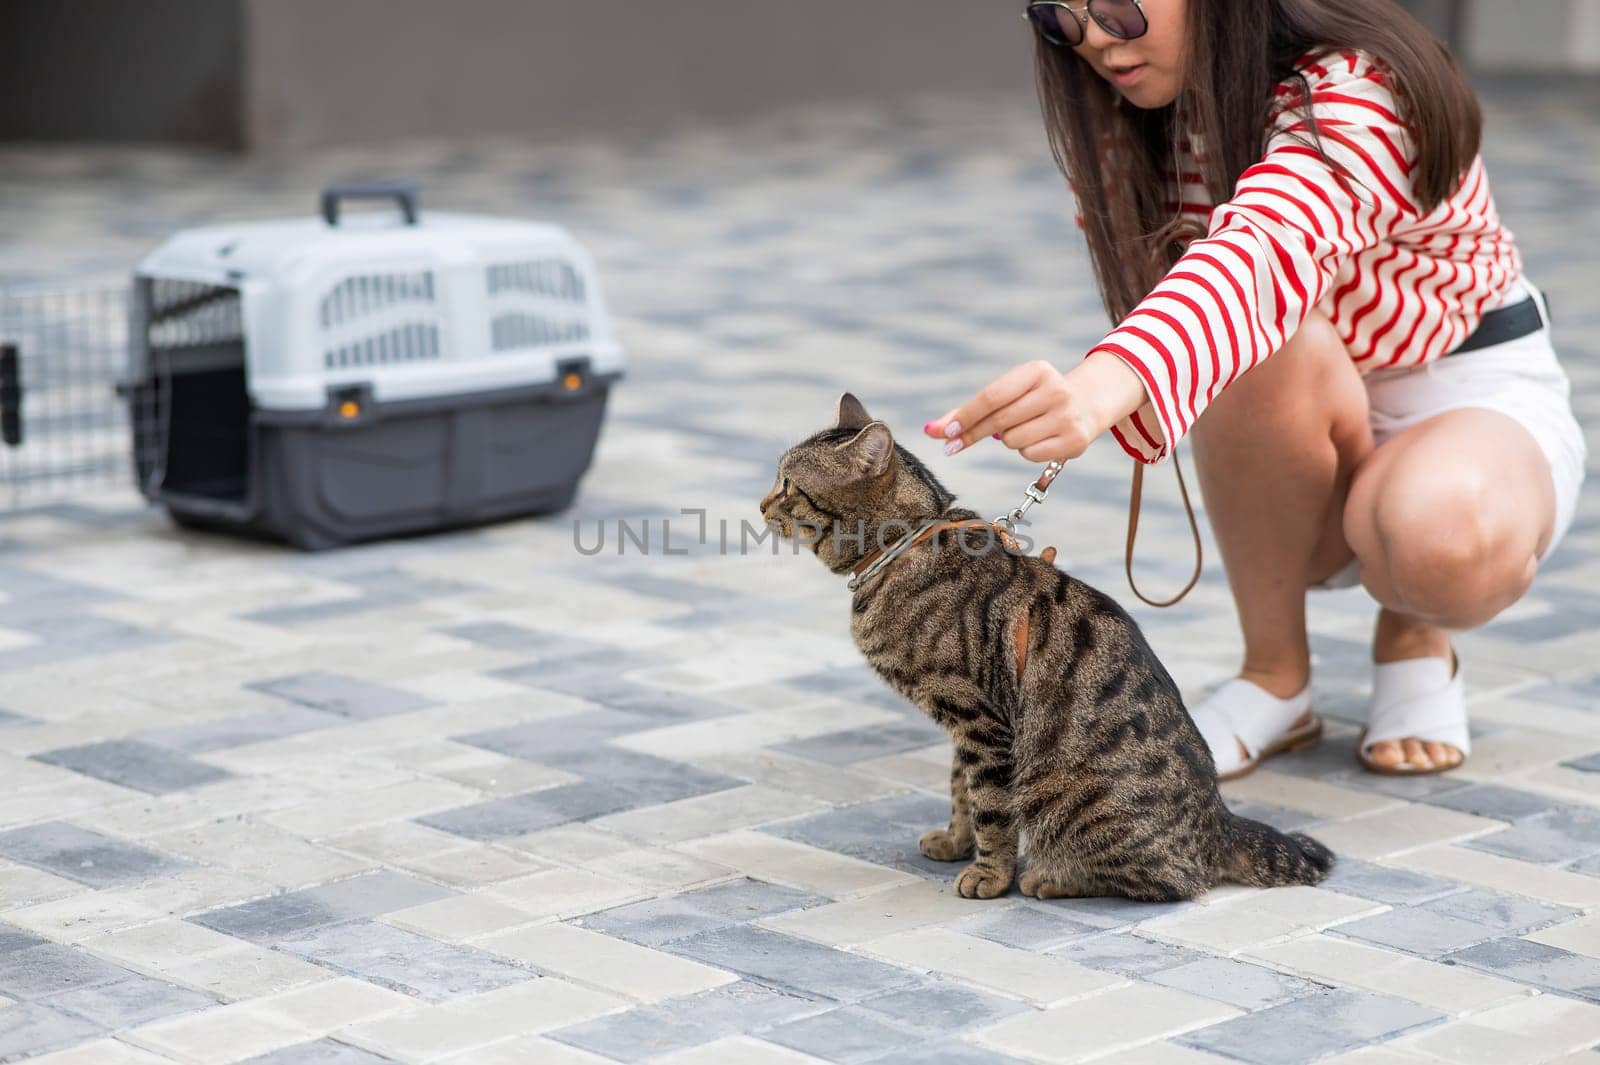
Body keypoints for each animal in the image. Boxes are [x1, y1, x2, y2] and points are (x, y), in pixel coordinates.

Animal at [761, 393, 1337, 901]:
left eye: (787, 483)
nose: (762, 503)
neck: (902, 545)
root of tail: (1221, 822)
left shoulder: (982, 721)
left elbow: (990, 808)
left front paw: (989, 875)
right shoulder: (965, 726)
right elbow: (961, 791)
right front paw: (956, 842)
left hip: (1057, 792)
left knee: (1172, 883)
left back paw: (1051, 878)